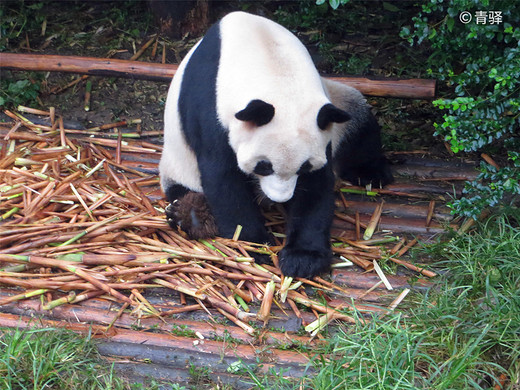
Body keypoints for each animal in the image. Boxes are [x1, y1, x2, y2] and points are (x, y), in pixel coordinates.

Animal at [160, 11, 392, 278]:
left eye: (304, 167)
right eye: (263, 166)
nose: (280, 198)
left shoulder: (318, 127)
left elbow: (316, 186)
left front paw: (303, 257)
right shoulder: (210, 106)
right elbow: (222, 177)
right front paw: (255, 244)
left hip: (340, 105)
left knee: (359, 120)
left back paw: (370, 173)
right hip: (177, 162)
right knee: (185, 189)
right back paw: (191, 215)